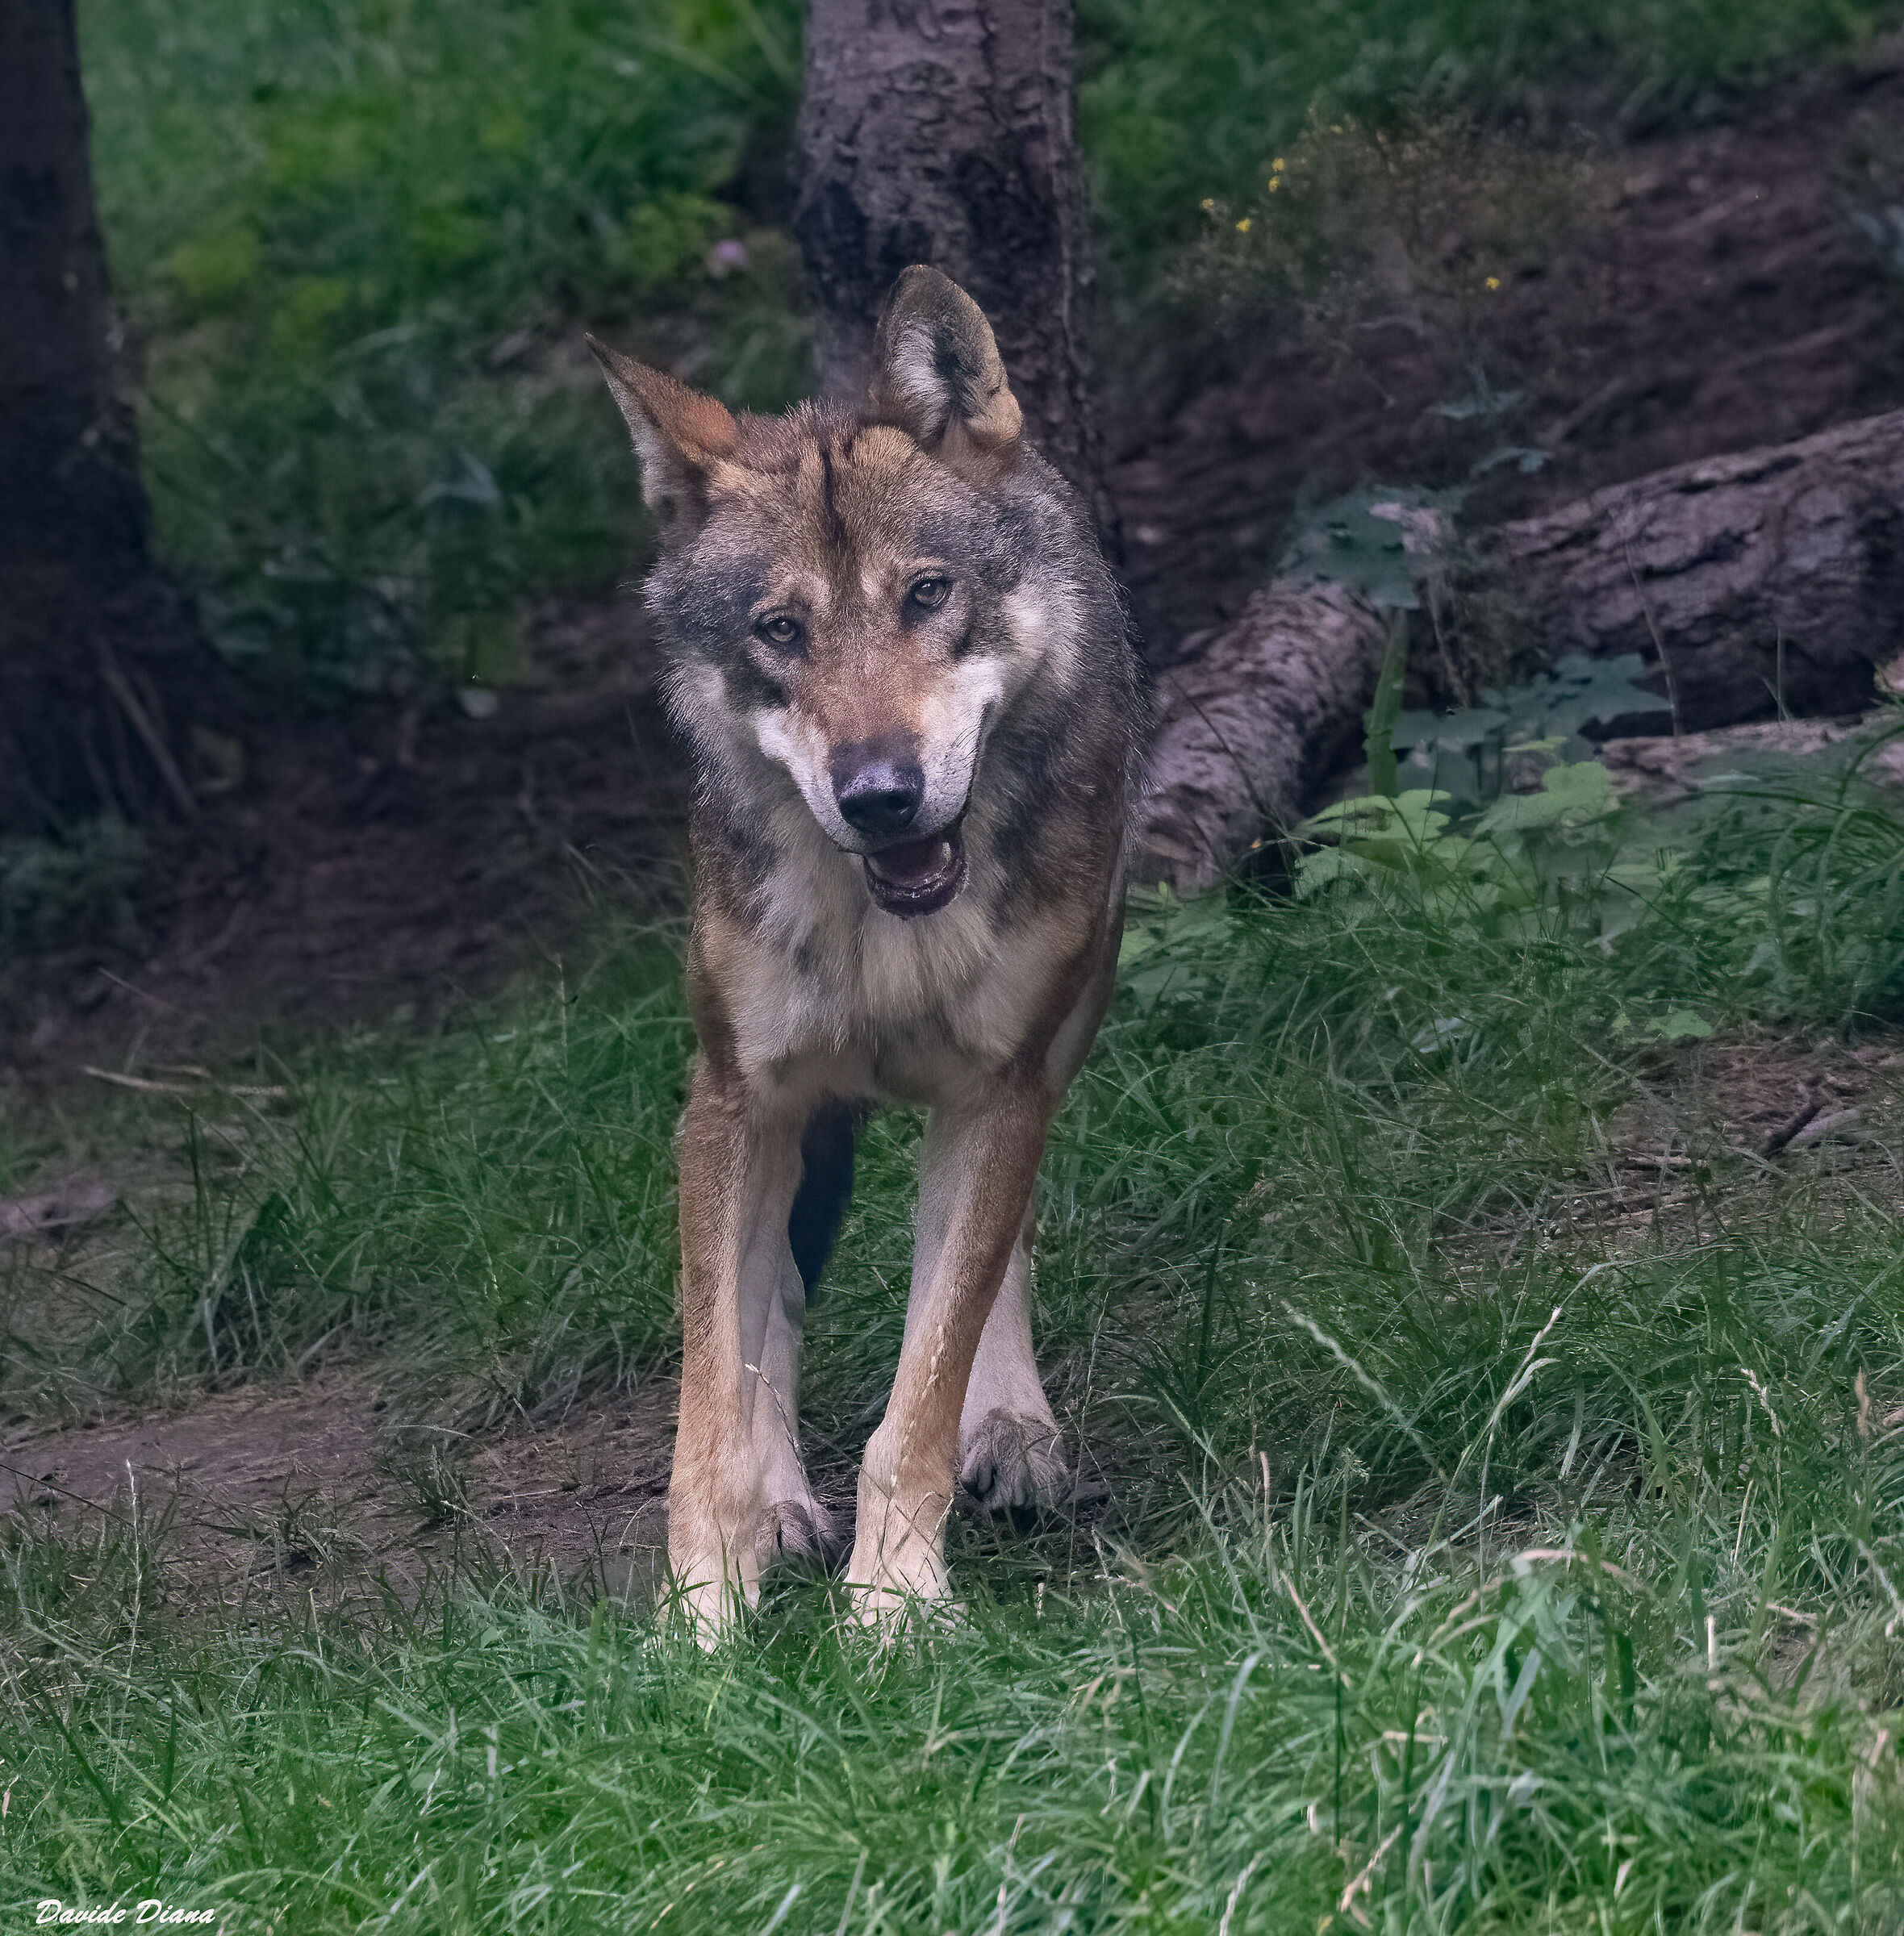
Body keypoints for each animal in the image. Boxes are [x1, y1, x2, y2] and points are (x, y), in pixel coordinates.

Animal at [589, 267, 1146, 1632]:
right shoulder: (735, 1099)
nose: (882, 796)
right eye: (780, 631)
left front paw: (895, 1610)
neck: (886, 927)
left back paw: (1016, 1430)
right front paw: (703, 1620)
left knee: (999, 1256)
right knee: (773, 1302)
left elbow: (923, 1391)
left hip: (1062, 1043)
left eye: (927, 594)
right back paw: (786, 1506)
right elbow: (711, 1403)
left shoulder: (1002, 1090)